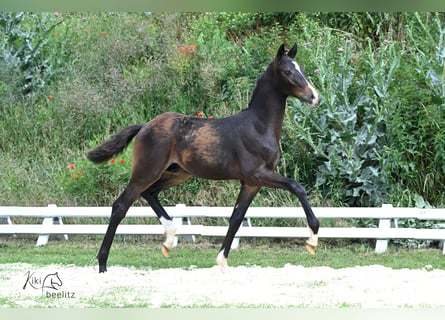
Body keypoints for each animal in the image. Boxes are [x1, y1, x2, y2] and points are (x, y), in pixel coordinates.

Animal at [87, 42, 320, 272]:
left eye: (302, 68)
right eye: (288, 71)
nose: (313, 97)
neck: (259, 126)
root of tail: (145, 126)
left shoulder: (251, 183)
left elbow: (236, 218)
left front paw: (222, 261)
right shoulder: (259, 174)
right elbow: (297, 187)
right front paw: (312, 240)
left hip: (177, 173)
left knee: (150, 193)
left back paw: (169, 239)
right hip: (147, 171)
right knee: (120, 206)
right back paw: (102, 264)